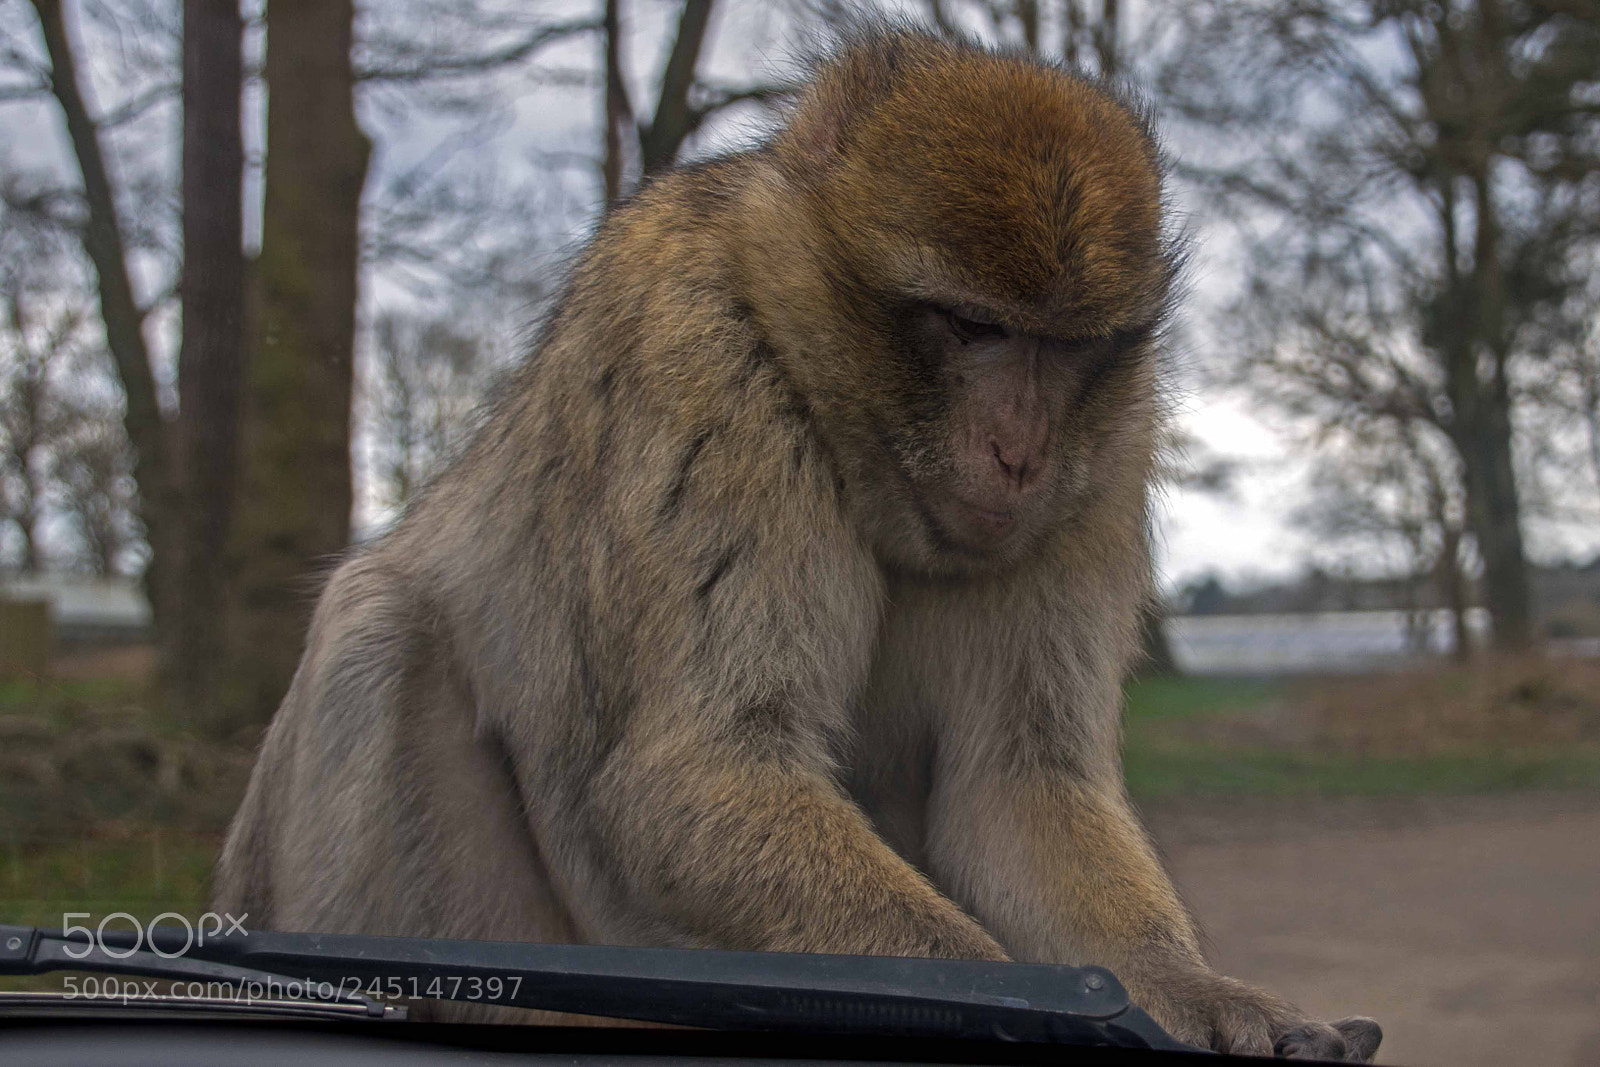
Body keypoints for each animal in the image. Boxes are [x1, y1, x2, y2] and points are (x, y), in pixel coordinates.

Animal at [213, 28, 1382, 1062]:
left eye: (1065, 348)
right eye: (973, 328)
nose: (1017, 453)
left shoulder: (1106, 450)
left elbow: (1017, 782)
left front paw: (1191, 990)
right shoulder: (698, 355)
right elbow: (697, 768)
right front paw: (993, 1004)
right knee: (379, 624)